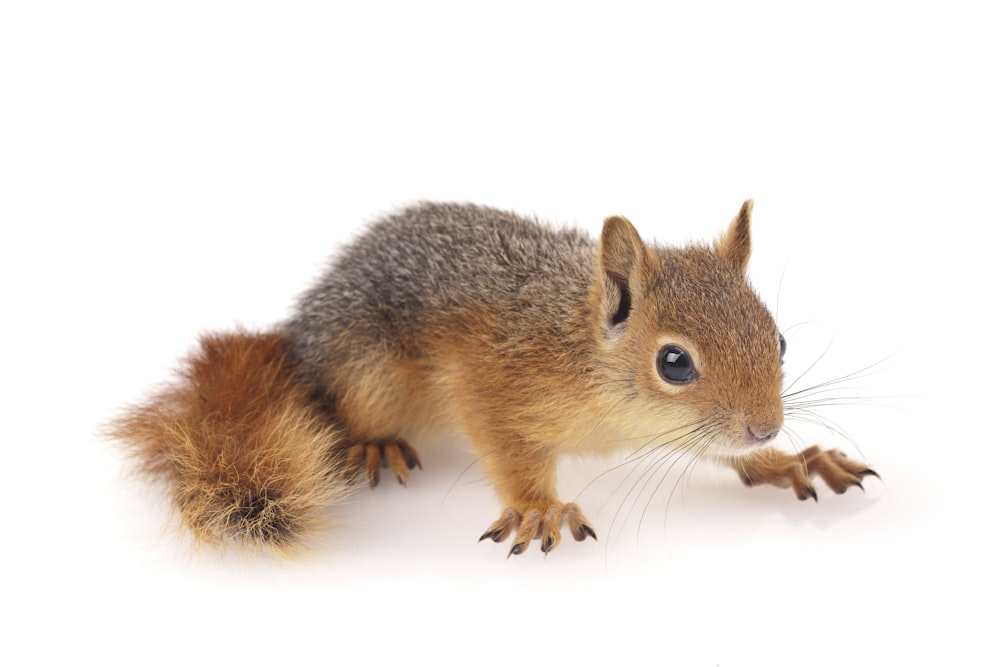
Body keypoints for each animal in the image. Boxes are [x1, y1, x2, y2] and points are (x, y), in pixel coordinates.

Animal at [107, 200, 876, 560]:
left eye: (778, 339)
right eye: (675, 362)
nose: (766, 426)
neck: (581, 348)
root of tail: (299, 334)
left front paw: (791, 459)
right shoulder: (492, 381)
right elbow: (505, 447)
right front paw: (538, 507)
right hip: (365, 367)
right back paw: (373, 443)